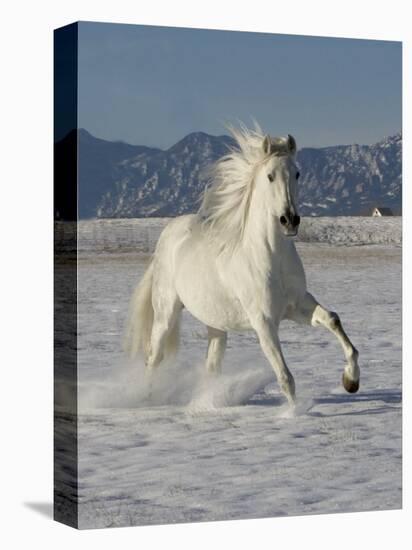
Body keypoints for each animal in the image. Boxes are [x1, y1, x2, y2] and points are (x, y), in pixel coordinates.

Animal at [124, 126, 358, 410]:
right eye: (270, 176)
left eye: (297, 173)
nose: (289, 220)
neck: (271, 257)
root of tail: (168, 234)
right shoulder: (264, 321)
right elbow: (285, 377)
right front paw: (294, 413)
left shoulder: (298, 306)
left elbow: (333, 320)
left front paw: (351, 381)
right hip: (166, 312)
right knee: (154, 357)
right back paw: (148, 399)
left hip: (215, 323)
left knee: (211, 366)